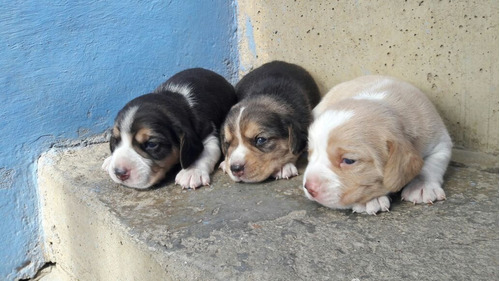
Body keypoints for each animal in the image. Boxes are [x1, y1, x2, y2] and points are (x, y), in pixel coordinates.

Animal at [101, 68, 236, 188]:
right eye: (115, 140)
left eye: (151, 144)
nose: (119, 173)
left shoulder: (209, 133)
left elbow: (205, 152)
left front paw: (191, 172)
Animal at [300, 75, 454, 213]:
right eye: (309, 153)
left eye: (349, 161)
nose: (309, 187)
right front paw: (370, 200)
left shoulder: (440, 141)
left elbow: (431, 165)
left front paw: (422, 186)